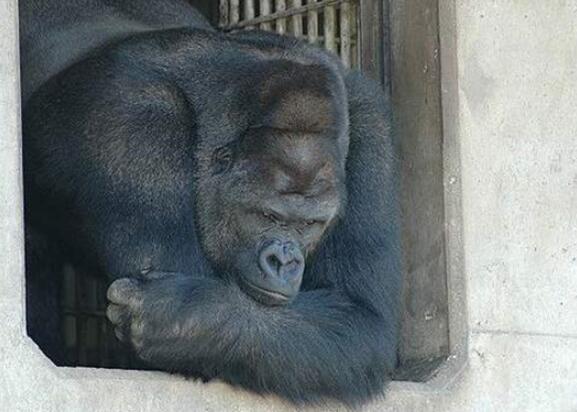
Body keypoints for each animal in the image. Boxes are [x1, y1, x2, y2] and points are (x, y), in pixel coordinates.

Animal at [21, 0, 400, 406]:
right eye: (267, 215)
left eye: (309, 225)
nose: (285, 262)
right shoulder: (129, 121)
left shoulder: (368, 119)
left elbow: (362, 317)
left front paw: (180, 316)